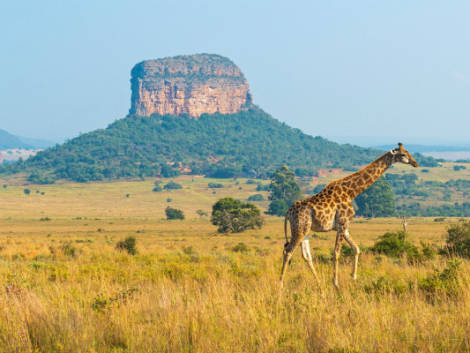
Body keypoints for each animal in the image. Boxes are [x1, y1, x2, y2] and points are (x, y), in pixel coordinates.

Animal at [280, 142, 418, 288]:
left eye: (408, 152)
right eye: (402, 154)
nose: (415, 163)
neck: (351, 192)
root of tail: (288, 212)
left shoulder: (345, 226)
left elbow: (356, 249)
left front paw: (354, 277)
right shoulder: (342, 224)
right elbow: (336, 253)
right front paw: (336, 283)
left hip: (305, 230)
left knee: (306, 256)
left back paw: (319, 283)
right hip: (299, 229)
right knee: (288, 251)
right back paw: (280, 284)